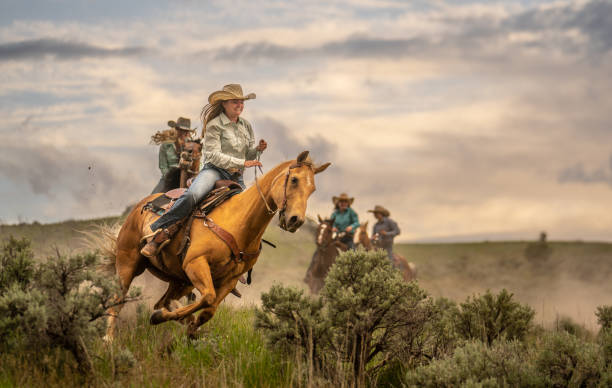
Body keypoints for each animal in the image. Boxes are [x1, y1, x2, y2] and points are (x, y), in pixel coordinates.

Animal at [107, 150, 332, 338]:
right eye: (294, 180)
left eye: (312, 189)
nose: (296, 220)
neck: (239, 222)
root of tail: (140, 206)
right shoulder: (196, 263)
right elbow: (207, 297)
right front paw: (162, 319)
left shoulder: (228, 280)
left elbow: (209, 310)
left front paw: (188, 327)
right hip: (128, 263)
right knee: (117, 300)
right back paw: (108, 339)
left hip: (180, 280)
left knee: (165, 301)